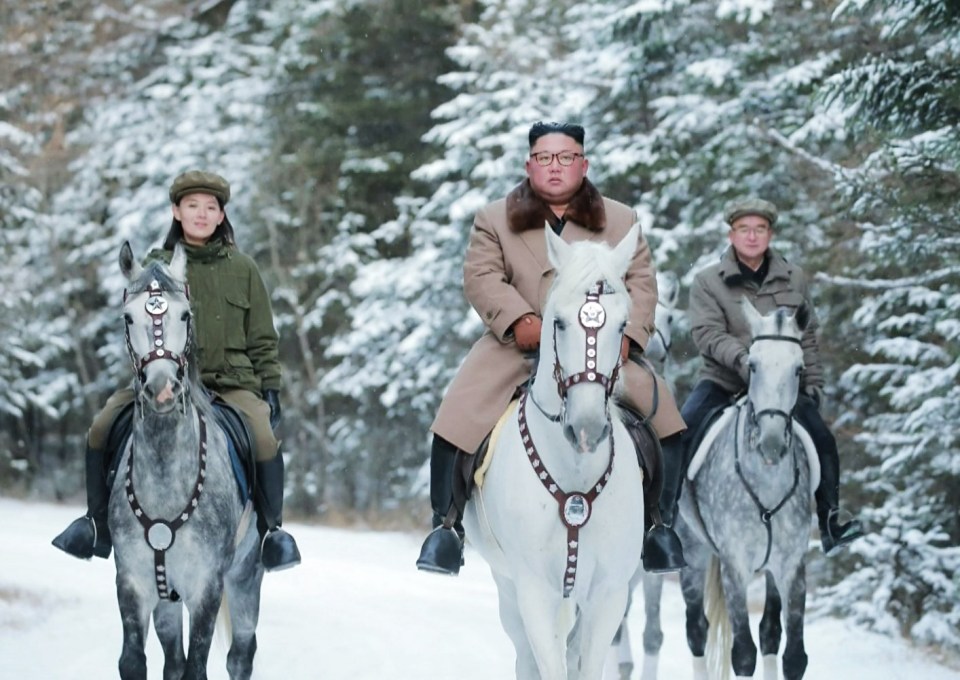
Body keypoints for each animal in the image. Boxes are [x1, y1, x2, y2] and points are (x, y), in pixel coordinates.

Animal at [464, 227, 644, 680]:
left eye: (623, 325)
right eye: (558, 323)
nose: (586, 427)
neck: (575, 477)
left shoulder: (609, 594)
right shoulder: (533, 590)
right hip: (508, 586)